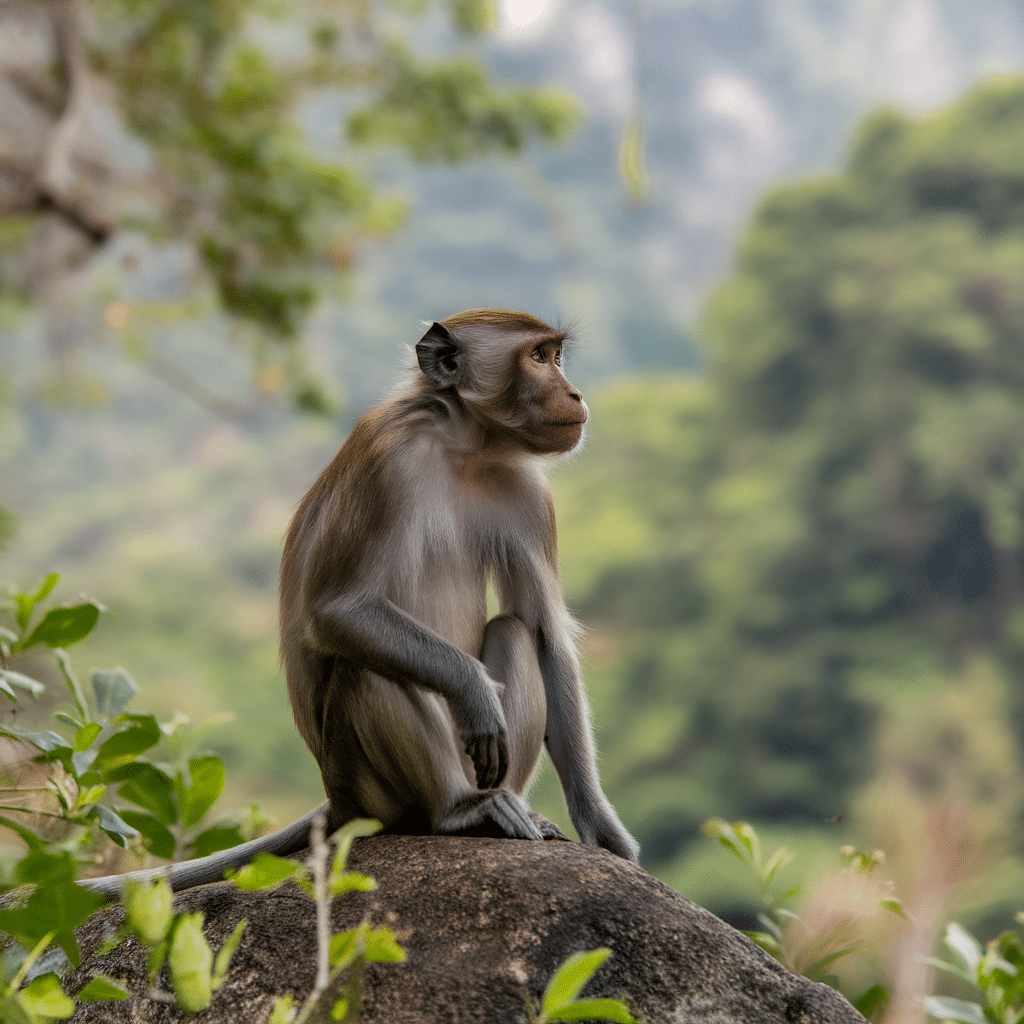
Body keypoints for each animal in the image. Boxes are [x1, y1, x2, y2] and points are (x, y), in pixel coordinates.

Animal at [79, 309, 637, 898]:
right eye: (537, 357)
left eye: (555, 356)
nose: (574, 394)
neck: (466, 444)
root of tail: (338, 801)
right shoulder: (385, 454)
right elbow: (338, 611)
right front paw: (473, 691)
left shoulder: (528, 494)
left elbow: (545, 635)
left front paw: (600, 826)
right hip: (368, 787)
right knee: (367, 668)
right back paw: (459, 809)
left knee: (510, 630)